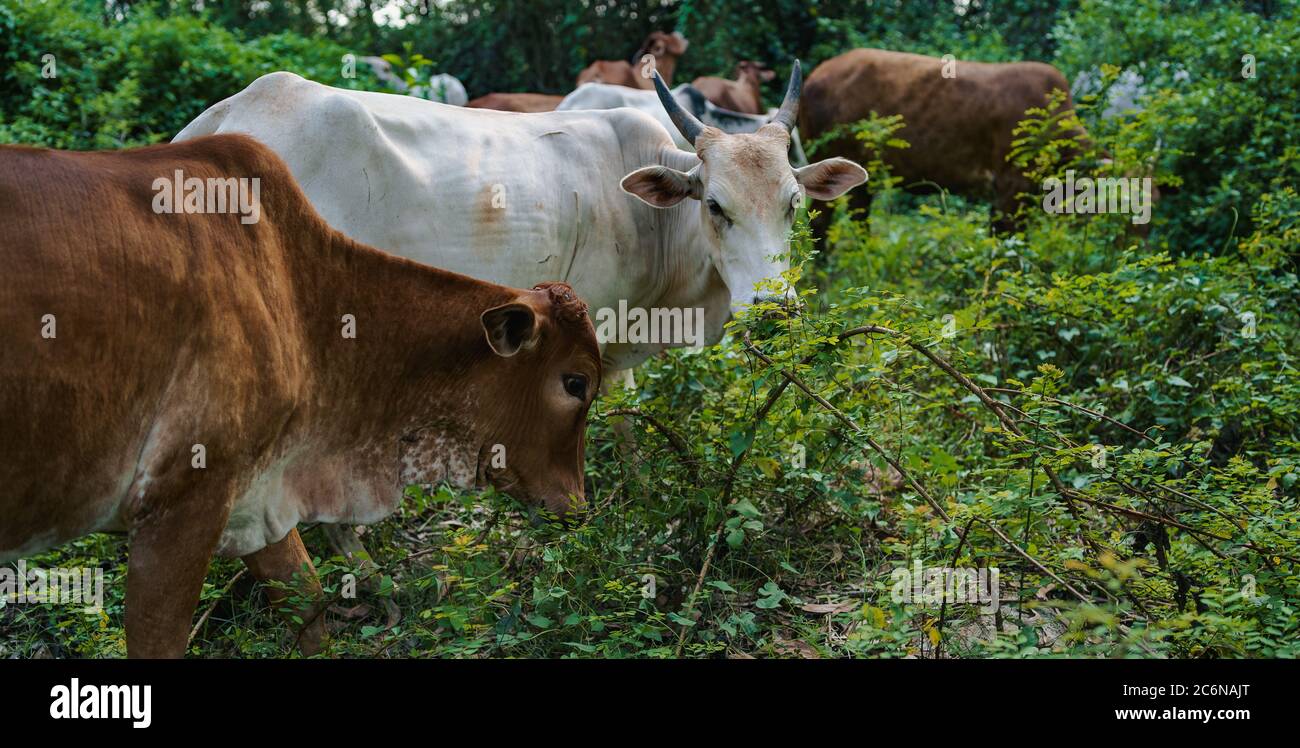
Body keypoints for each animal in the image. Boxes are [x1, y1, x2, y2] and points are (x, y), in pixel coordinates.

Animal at [0, 134, 601, 658]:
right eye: (577, 383)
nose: (578, 506)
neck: (302, 296)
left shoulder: (255, 493)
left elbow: (306, 599)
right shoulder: (181, 503)